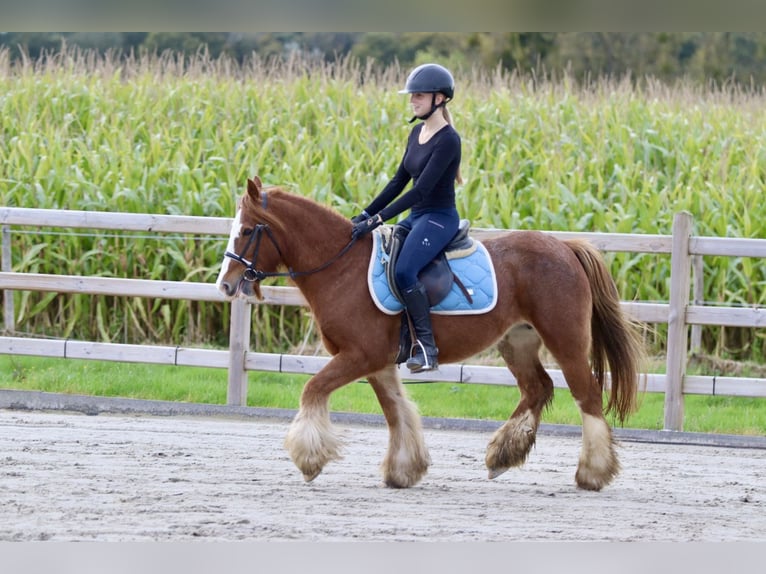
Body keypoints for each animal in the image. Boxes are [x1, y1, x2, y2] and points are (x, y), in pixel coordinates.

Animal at [216, 178, 648, 492]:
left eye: (249, 231)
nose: (225, 284)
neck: (341, 268)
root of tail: (565, 247)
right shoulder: (377, 362)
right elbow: (397, 411)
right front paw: (404, 470)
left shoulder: (360, 356)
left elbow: (313, 390)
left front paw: (310, 461)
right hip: (518, 341)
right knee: (537, 388)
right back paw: (501, 457)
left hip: (566, 341)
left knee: (587, 395)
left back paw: (592, 473)